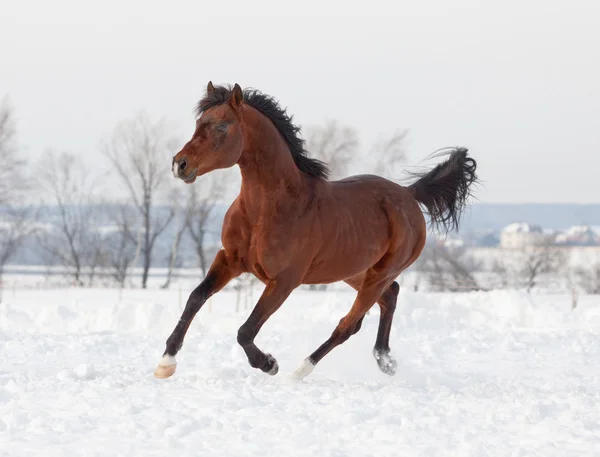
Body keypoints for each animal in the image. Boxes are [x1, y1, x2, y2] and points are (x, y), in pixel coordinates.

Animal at [155, 81, 478, 378]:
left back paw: (301, 370)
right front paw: (166, 362)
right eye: (199, 123)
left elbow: (245, 331)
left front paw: (269, 364)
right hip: (354, 271)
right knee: (390, 297)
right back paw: (386, 361)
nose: (179, 164)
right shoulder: (230, 260)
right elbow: (195, 298)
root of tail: (410, 194)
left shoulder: (284, 280)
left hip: (378, 274)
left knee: (349, 324)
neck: (266, 211)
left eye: (222, 126)